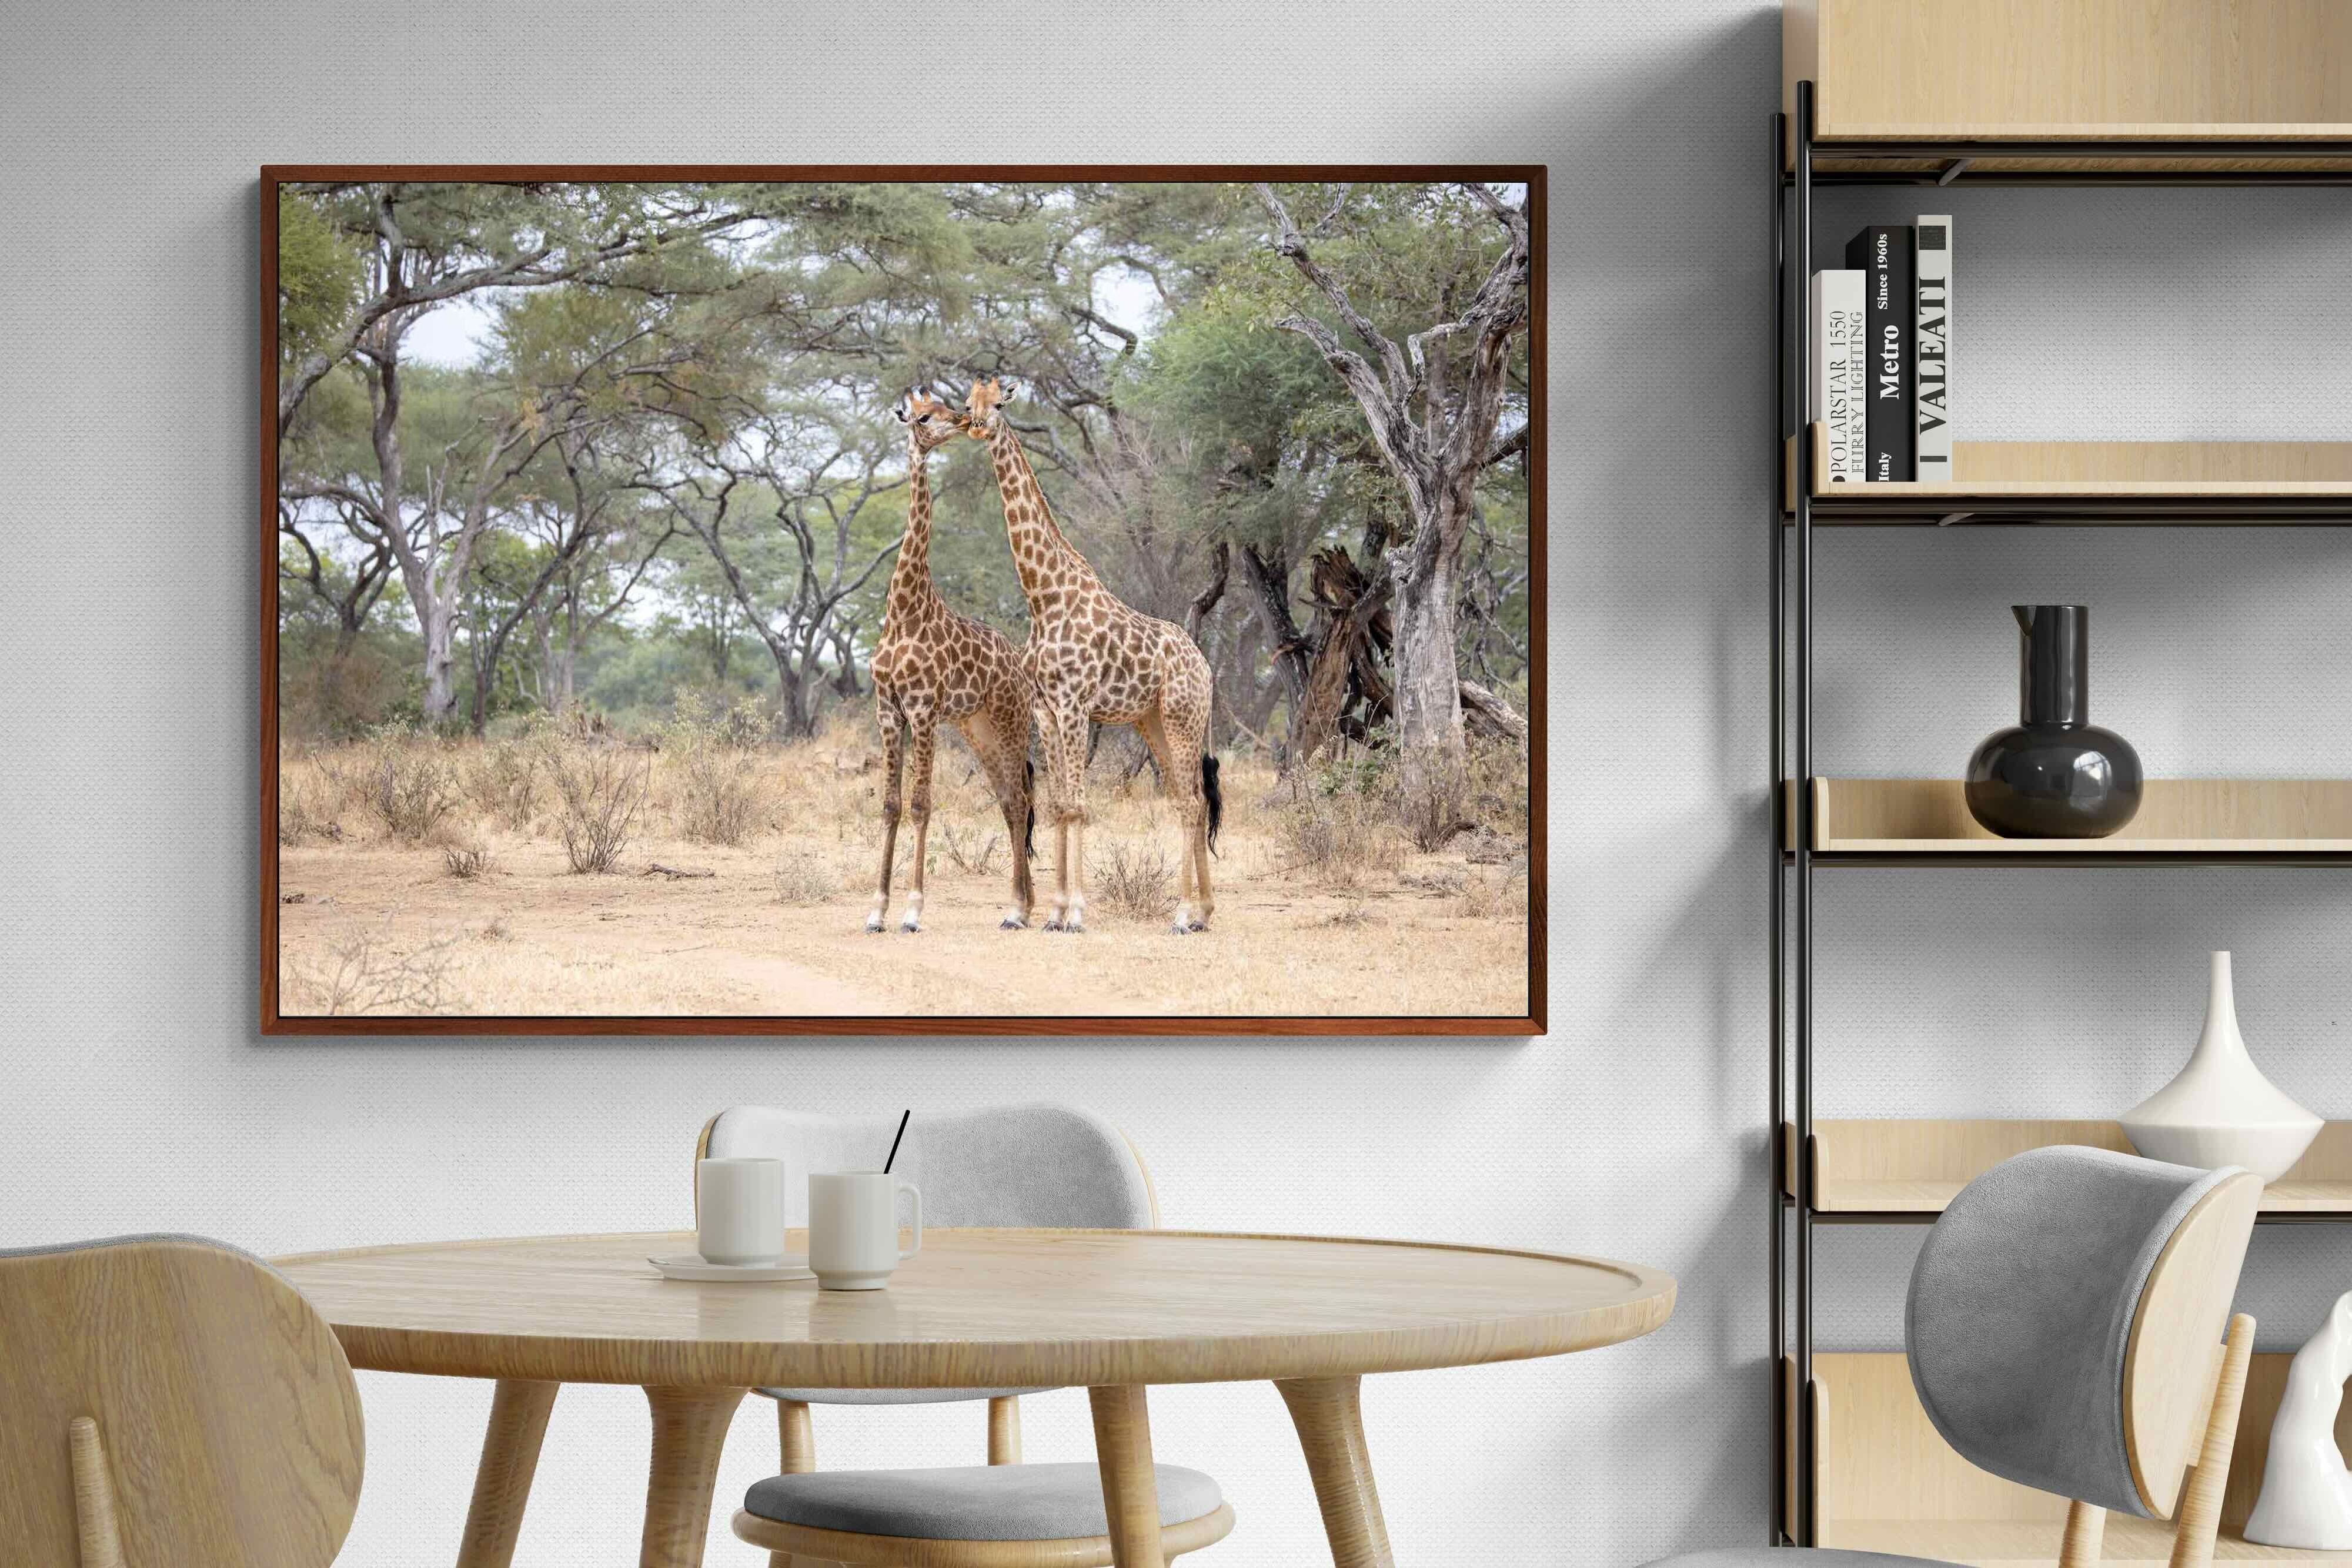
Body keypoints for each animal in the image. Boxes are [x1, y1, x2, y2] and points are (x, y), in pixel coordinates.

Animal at [865, 391, 1036, 933]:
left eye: (944, 406)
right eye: (923, 415)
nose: (962, 421)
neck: (904, 610)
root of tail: (1020, 666)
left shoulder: (922, 710)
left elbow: (921, 804)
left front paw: (913, 911)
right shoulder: (888, 710)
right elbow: (892, 805)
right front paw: (876, 910)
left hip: (1010, 722)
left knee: (1021, 800)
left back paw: (1018, 909)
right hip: (976, 728)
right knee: (1009, 800)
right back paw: (1023, 905)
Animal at [962, 376, 1222, 934]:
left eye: (1000, 403)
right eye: (968, 402)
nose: (976, 424)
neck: (1043, 595)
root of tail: (1206, 666)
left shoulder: (1075, 705)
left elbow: (1079, 806)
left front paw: (1076, 913)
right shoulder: (1047, 710)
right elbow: (1060, 803)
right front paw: (1055, 912)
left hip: (1183, 717)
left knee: (1192, 801)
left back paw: (1182, 914)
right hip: (1155, 722)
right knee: (1185, 798)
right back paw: (1203, 912)